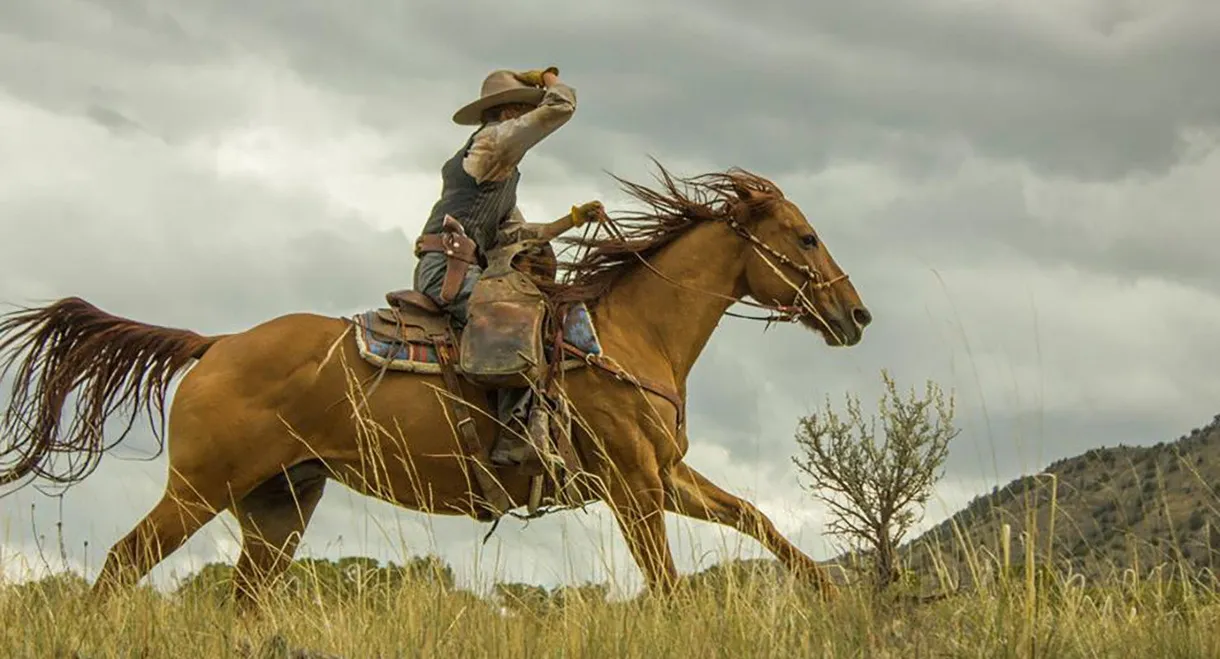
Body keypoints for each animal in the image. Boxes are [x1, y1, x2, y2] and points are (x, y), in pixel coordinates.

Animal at [0, 164, 872, 604]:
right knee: (121, 563)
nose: (856, 313)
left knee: (243, 596)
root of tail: (215, 345)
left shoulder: (664, 475)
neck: (632, 333)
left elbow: (756, 517)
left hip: (279, 504)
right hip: (197, 490)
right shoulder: (633, 486)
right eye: (806, 237)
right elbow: (668, 585)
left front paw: (834, 594)